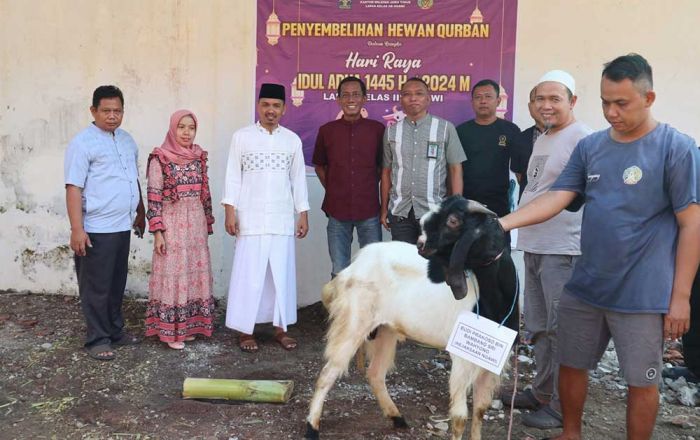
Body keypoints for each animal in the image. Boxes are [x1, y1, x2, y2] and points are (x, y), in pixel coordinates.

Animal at [306, 197, 520, 440]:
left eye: (453, 220)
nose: (420, 243)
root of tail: (350, 269)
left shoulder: (493, 362)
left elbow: (480, 410)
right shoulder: (461, 357)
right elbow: (459, 418)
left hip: (385, 330)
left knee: (375, 374)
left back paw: (396, 417)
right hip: (353, 324)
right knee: (327, 373)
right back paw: (312, 427)